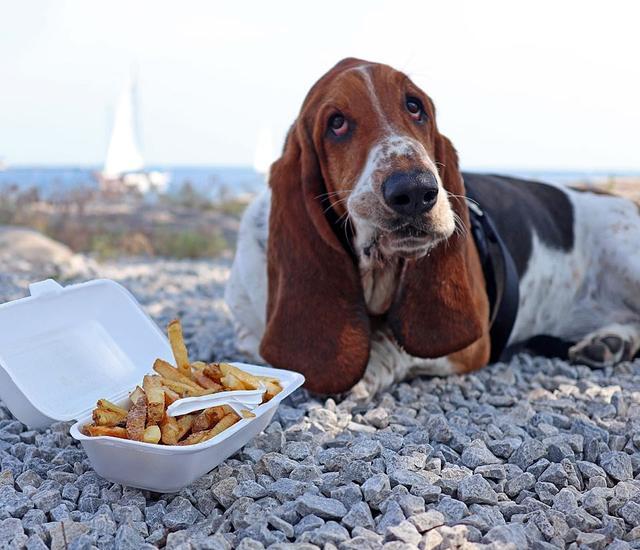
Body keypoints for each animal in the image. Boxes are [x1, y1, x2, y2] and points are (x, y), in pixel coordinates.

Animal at [228, 58, 640, 398]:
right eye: (336, 123)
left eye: (415, 107)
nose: (415, 190)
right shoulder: (248, 331)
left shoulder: (472, 343)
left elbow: (398, 343)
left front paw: (369, 367)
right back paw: (608, 343)